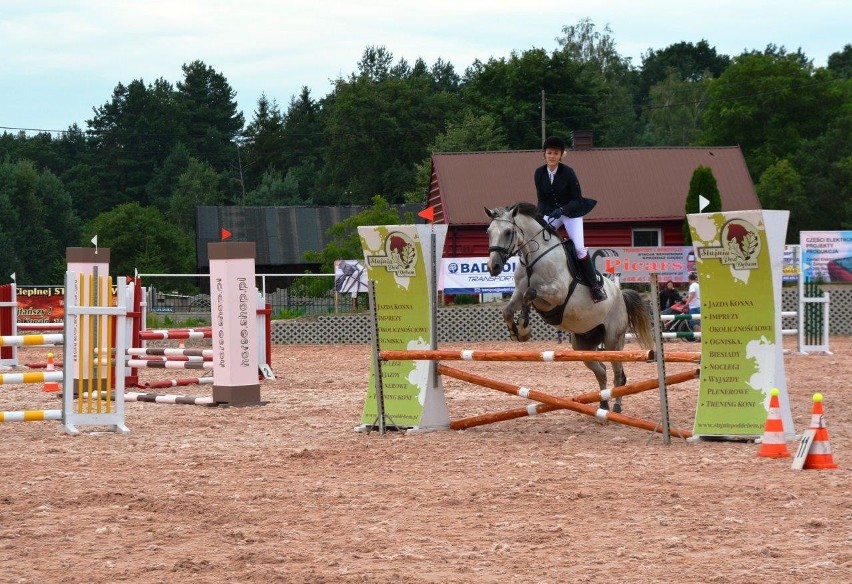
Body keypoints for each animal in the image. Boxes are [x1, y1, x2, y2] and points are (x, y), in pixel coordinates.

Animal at [482, 203, 656, 412]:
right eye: (488, 231)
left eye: (508, 232)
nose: (493, 267)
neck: (533, 258)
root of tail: (620, 294)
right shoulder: (518, 292)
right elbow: (509, 309)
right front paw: (516, 332)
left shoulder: (556, 294)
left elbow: (530, 294)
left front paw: (523, 328)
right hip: (583, 345)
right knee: (602, 371)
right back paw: (603, 404)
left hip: (613, 340)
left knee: (619, 375)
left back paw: (616, 407)